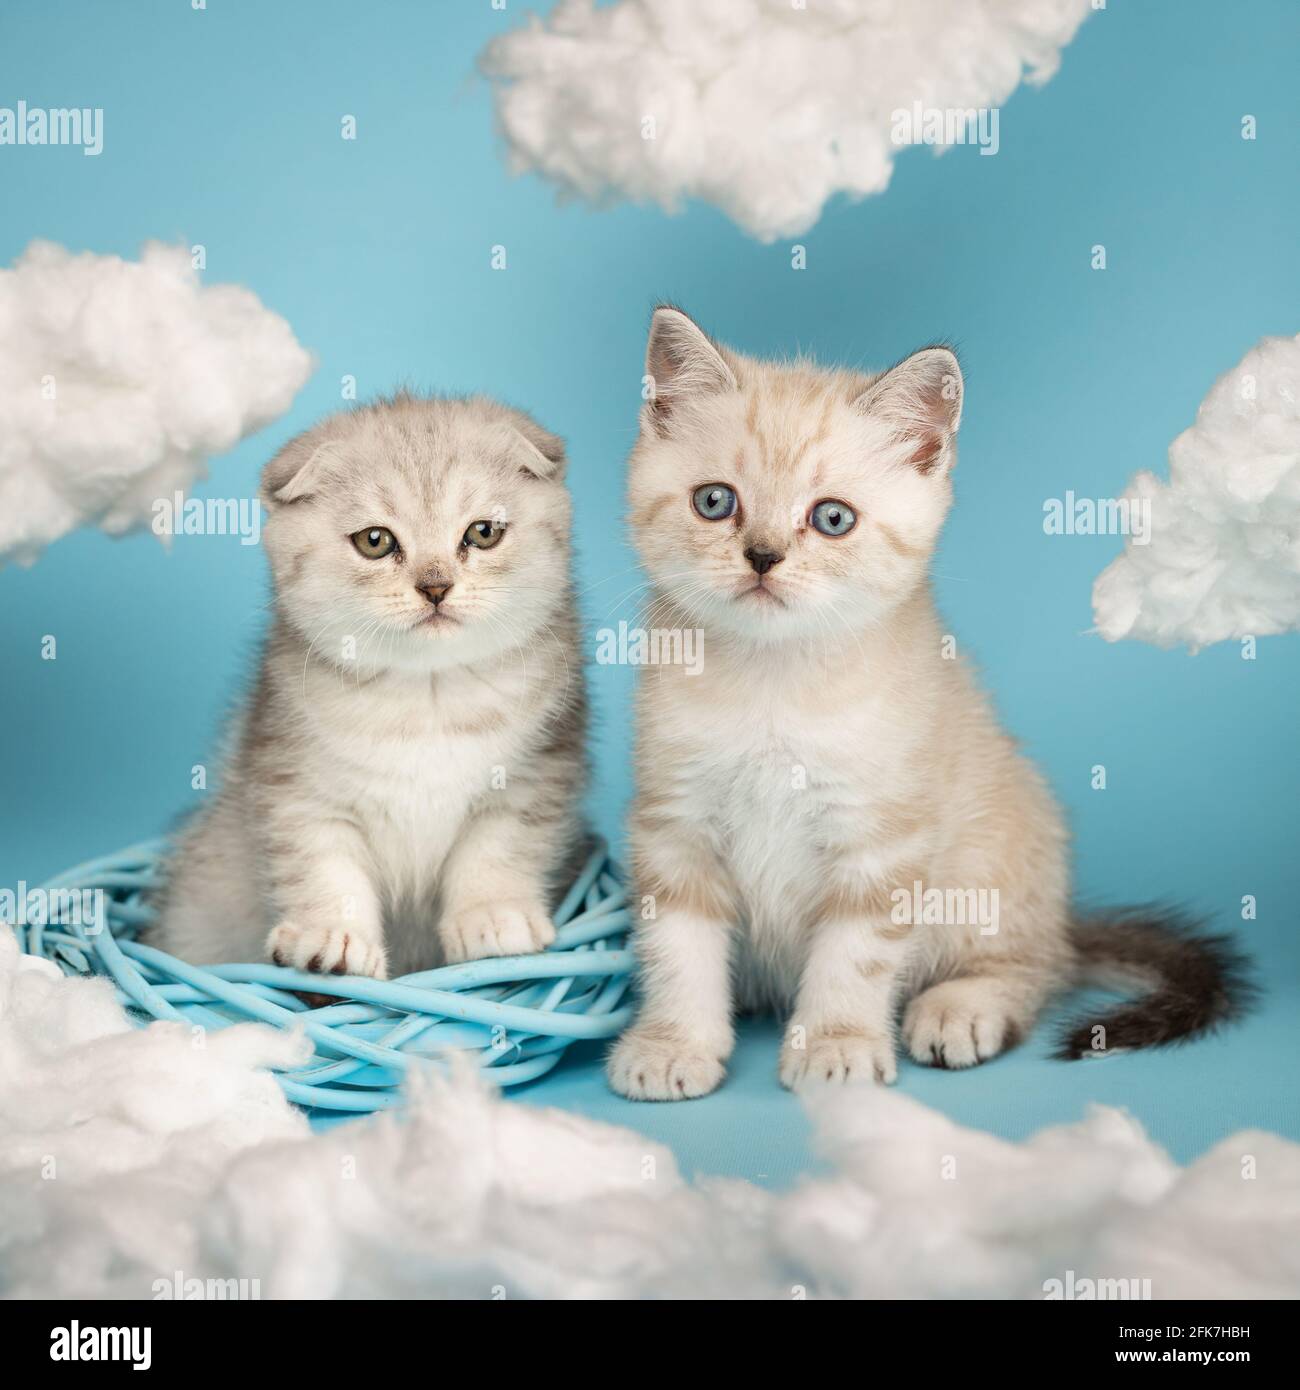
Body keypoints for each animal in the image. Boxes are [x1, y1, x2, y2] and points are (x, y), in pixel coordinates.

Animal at [150, 391, 586, 978]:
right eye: (375, 541)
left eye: (483, 533)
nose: (435, 586)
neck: (428, 696)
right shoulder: (296, 784)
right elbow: (322, 864)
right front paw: (332, 936)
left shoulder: (534, 775)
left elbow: (499, 848)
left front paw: (492, 917)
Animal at [608, 309, 1251, 1100]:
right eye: (714, 502)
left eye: (832, 519)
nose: (762, 557)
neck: (774, 682)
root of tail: (1063, 921)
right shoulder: (675, 825)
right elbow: (678, 950)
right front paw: (673, 1043)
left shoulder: (882, 838)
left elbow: (853, 957)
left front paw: (837, 1044)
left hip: (995, 865)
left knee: (1035, 969)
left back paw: (961, 1009)